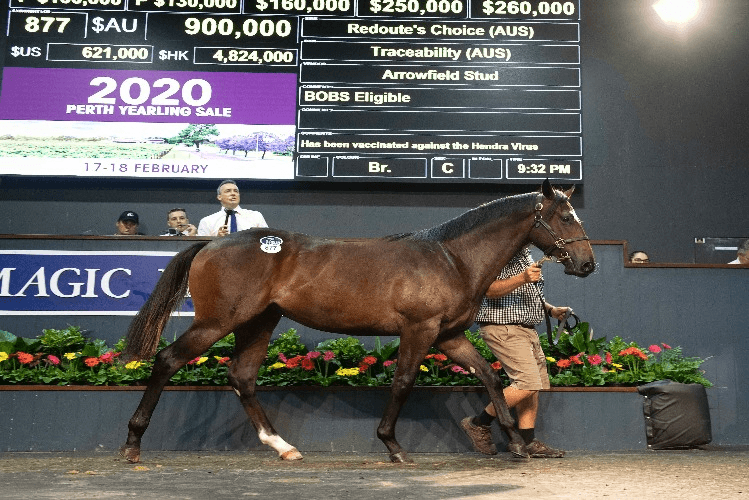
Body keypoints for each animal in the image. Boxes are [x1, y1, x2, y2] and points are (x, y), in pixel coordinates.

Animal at [120, 181, 592, 464]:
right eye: (565, 217)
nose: (587, 264)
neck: (451, 259)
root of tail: (209, 245)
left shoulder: (449, 336)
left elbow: (492, 377)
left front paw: (514, 442)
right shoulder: (419, 331)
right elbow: (403, 383)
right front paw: (393, 445)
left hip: (257, 322)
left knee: (242, 377)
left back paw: (283, 447)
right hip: (218, 322)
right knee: (167, 360)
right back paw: (133, 443)